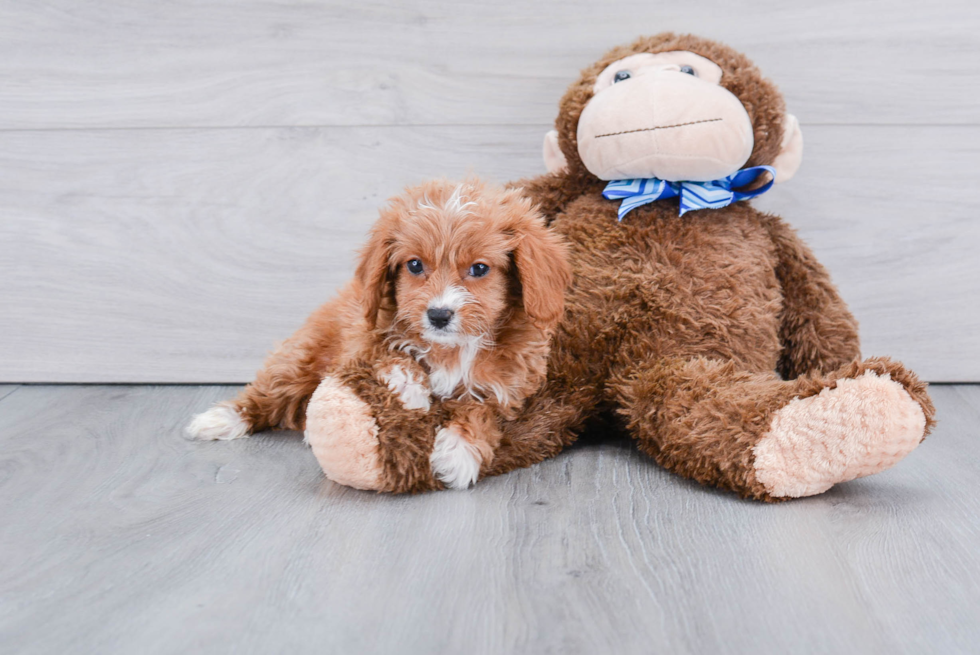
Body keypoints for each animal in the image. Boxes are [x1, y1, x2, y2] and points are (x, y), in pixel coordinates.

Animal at [188, 178, 572, 486]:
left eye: (479, 269)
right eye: (414, 265)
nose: (438, 314)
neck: (451, 348)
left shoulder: (506, 390)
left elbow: (481, 413)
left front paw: (458, 453)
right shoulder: (362, 335)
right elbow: (388, 353)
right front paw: (411, 389)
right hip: (300, 358)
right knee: (267, 394)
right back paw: (219, 419)